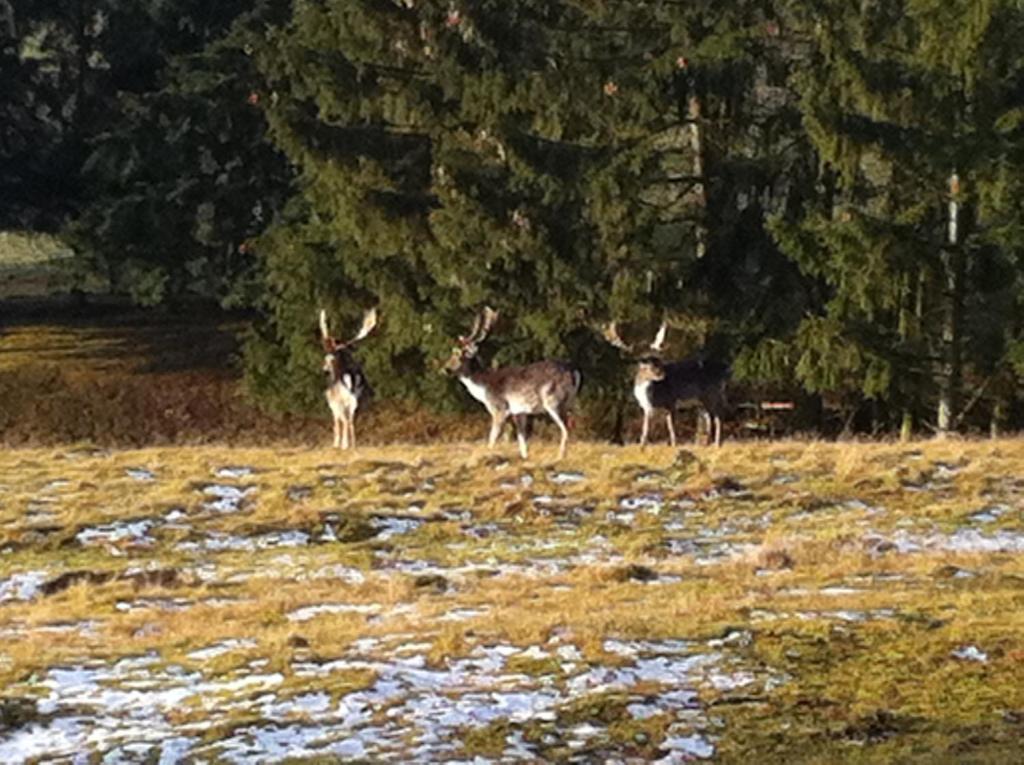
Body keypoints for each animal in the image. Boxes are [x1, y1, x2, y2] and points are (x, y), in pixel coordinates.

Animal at [317, 305, 378, 448]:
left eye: (327, 358)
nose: (324, 370)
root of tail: (352, 378)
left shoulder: (333, 403)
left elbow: (336, 422)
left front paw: (336, 444)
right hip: (357, 399)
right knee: (351, 420)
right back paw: (353, 444)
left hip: (343, 401)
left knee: (345, 420)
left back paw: (344, 445)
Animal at [444, 307, 581, 460]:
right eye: (452, 352)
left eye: (459, 354)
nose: (446, 369)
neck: (484, 388)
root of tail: (574, 371)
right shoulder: (520, 412)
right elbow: (522, 443)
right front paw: (525, 458)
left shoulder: (500, 408)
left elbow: (492, 439)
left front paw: (488, 456)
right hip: (568, 402)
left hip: (553, 400)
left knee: (566, 428)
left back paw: (559, 457)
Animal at [606, 319, 729, 448]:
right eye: (646, 365)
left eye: (659, 361)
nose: (662, 374)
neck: (650, 395)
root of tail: (725, 369)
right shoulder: (646, 408)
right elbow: (645, 428)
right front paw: (642, 446)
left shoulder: (671, 401)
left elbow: (671, 427)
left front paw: (674, 445)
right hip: (702, 401)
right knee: (709, 418)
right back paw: (707, 445)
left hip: (711, 394)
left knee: (718, 416)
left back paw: (717, 444)